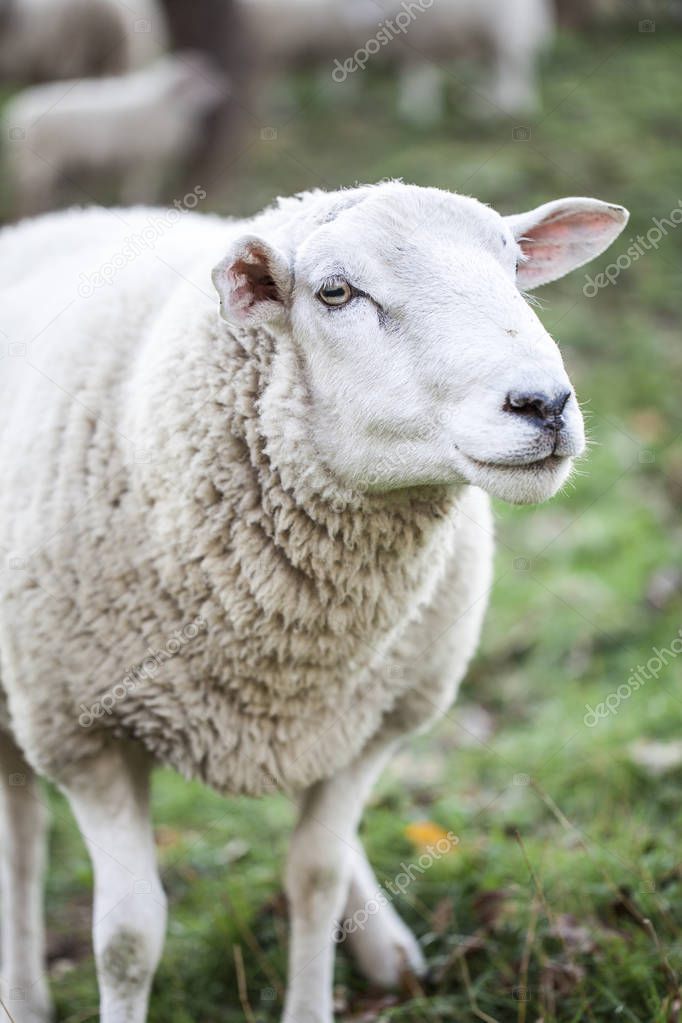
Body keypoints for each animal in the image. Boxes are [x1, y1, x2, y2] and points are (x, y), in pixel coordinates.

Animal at [0, 184, 629, 1023]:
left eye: (513, 264)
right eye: (336, 292)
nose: (545, 403)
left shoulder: (366, 724)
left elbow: (315, 881)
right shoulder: (84, 733)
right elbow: (128, 936)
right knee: (21, 839)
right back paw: (23, 991)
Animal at [1, 52, 231, 213]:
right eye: (200, 78)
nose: (225, 89)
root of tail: (17, 113)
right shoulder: (146, 160)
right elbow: (140, 191)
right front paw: (143, 205)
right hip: (38, 165)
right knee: (28, 198)